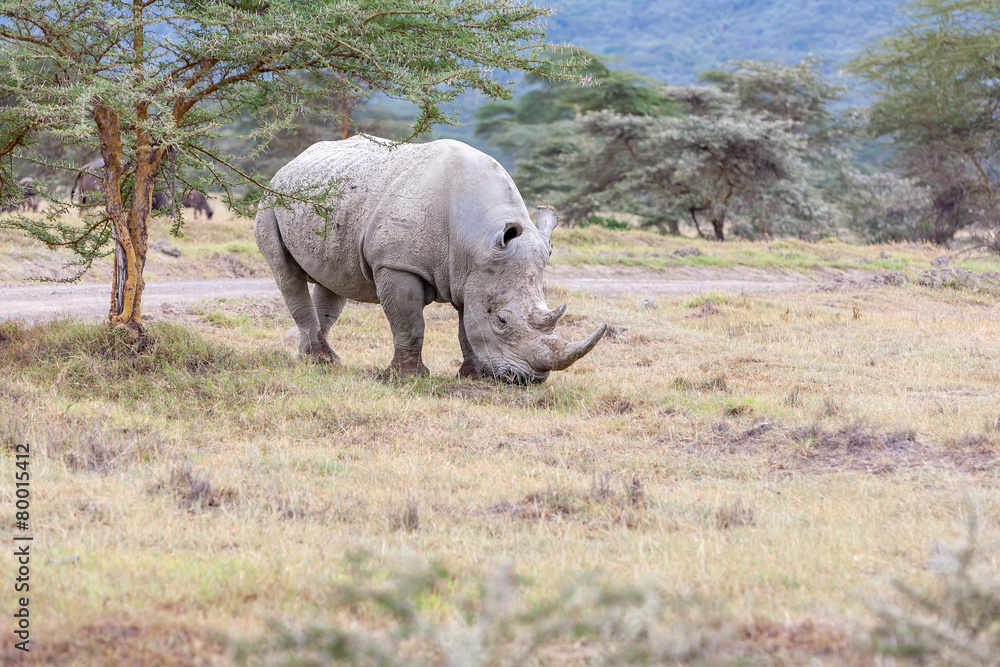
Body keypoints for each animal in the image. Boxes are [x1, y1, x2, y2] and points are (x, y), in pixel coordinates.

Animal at [255, 136, 606, 383]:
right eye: (502, 321)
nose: (528, 380)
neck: (477, 237)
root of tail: (292, 163)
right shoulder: (396, 264)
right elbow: (411, 324)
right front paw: (406, 379)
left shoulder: (474, 274)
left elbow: (467, 327)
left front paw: (472, 375)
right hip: (272, 199)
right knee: (288, 275)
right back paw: (320, 361)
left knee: (334, 281)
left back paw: (320, 360)